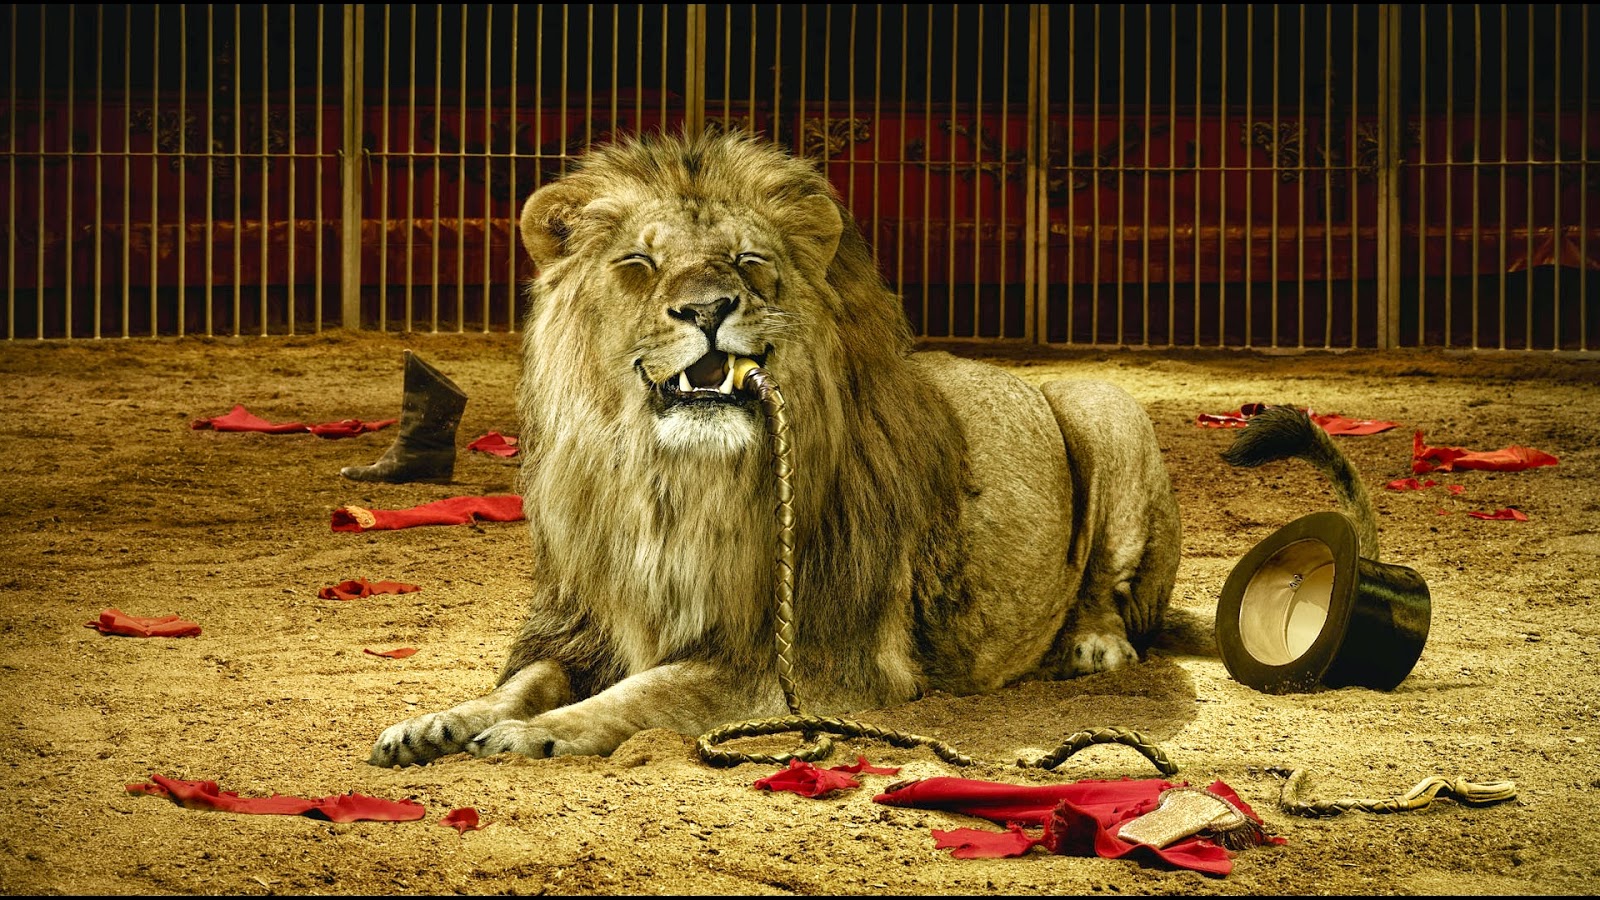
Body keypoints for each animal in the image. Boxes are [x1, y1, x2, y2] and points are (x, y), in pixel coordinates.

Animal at [368, 130, 1182, 767]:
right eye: (638, 263)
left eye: (749, 259)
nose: (707, 308)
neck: (672, 485)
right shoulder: (583, 625)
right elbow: (522, 682)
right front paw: (439, 722)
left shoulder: (815, 660)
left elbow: (649, 693)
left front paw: (538, 733)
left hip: (1104, 407)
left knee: (1108, 585)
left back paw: (1094, 648)